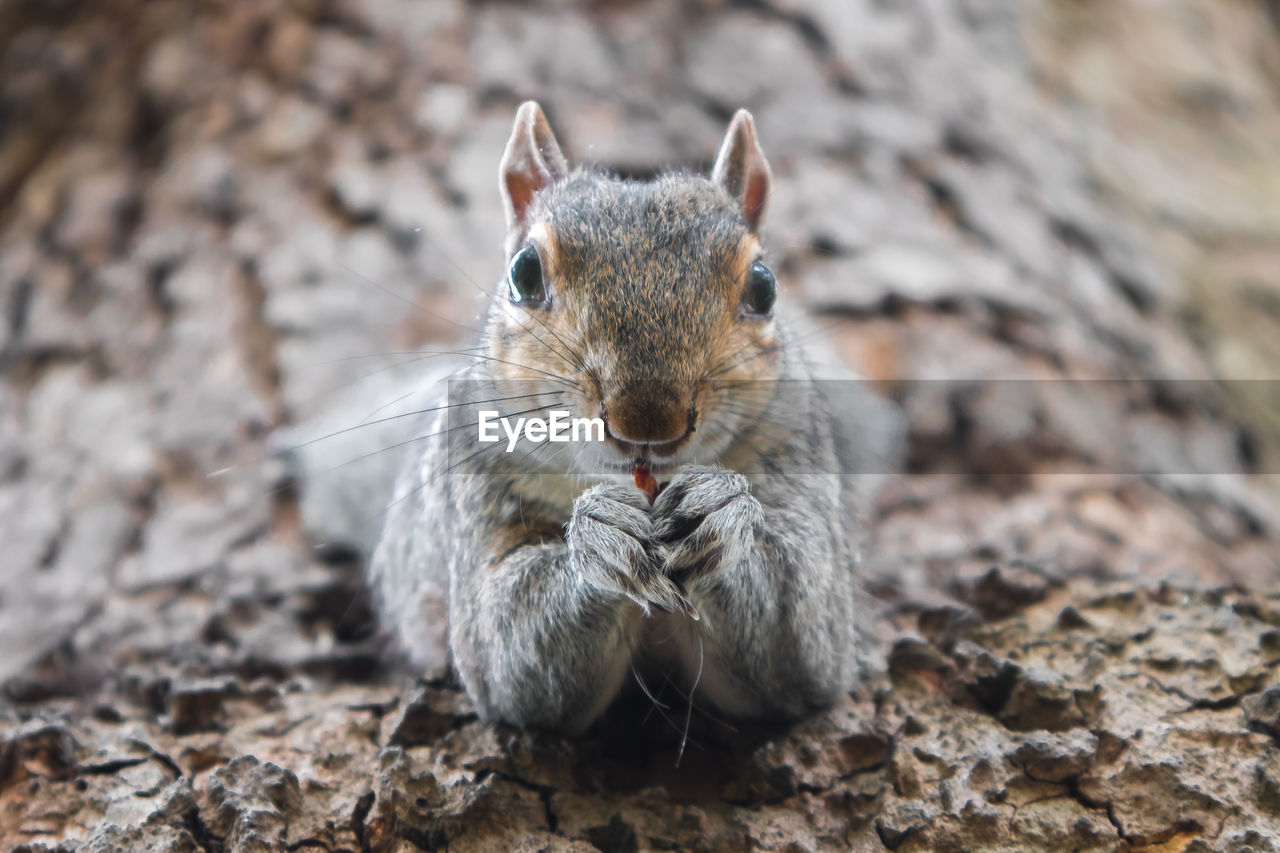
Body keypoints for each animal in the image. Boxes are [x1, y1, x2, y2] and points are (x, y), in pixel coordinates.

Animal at [284, 103, 901, 732]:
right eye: (524, 273)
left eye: (764, 286)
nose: (648, 424)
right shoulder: (473, 476)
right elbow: (505, 652)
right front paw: (600, 536)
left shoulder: (799, 455)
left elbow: (806, 640)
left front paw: (721, 511)